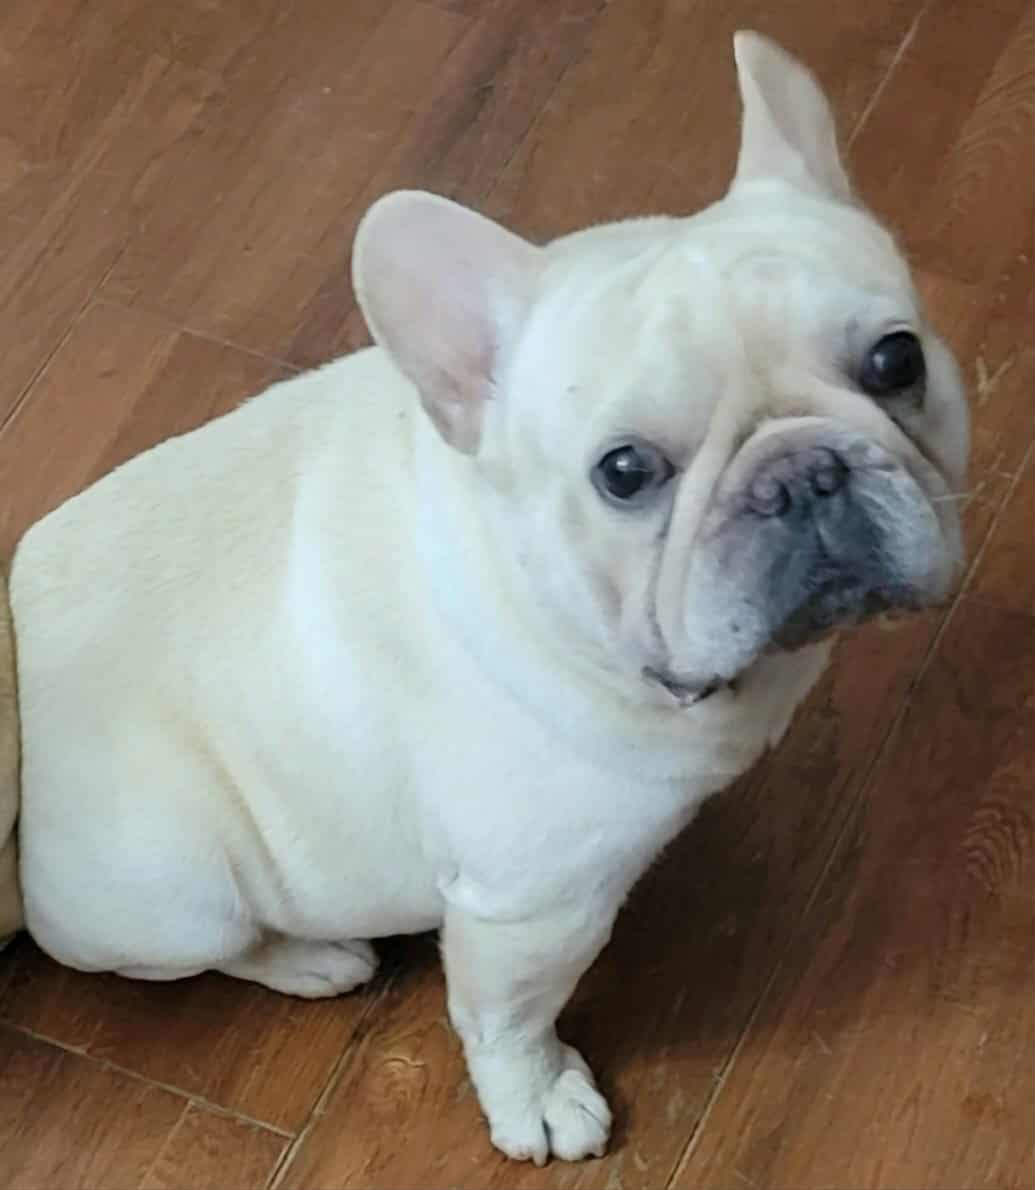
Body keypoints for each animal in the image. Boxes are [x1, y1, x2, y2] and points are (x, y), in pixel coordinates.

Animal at [6, 32, 968, 1164]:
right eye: (625, 472)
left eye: (897, 359)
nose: (801, 473)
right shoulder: (531, 907)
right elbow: (508, 1019)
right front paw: (537, 1098)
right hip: (179, 889)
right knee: (187, 946)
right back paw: (309, 954)